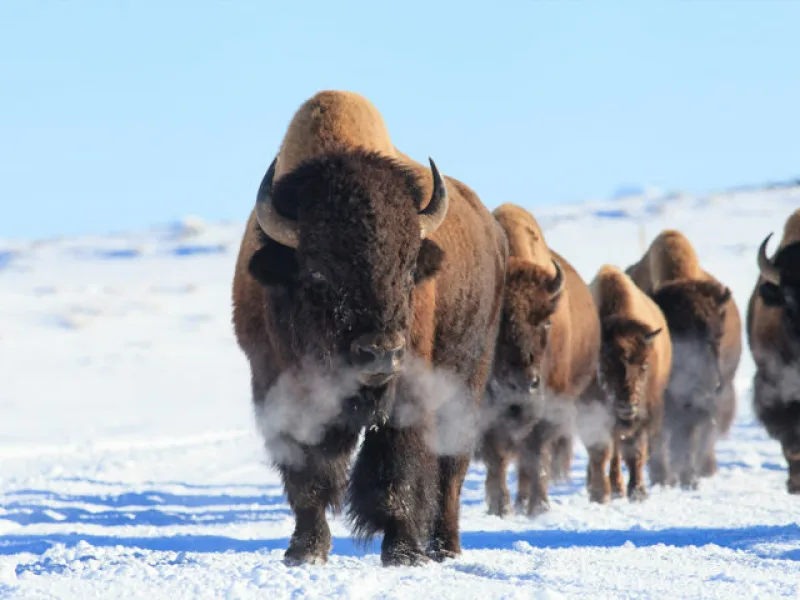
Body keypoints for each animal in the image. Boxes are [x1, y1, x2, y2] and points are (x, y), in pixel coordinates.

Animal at [232, 91, 508, 565]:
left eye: (408, 268)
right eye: (317, 274)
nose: (379, 352)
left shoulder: (408, 390)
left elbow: (396, 472)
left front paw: (402, 552)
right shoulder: (278, 387)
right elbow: (308, 476)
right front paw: (305, 551)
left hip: (468, 375)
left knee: (451, 468)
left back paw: (444, 548)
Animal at [478, 203, 600, 517]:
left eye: (546, 321)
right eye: (498, 322)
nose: (523, 384)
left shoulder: (548, 407)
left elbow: (535, 455)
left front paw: (539, 505)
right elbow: (496, 456)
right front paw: (500, 507)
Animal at [577, 265, 672, 503]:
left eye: (645, 364)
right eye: (604, 366)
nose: (627, 406)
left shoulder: (644, 416)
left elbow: (635, 452)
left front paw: (637, 493)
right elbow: (600, 451)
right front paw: (599, 495)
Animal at [626, 229, 742, 489]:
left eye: (719, 335)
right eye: (678, 335)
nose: (712, 383)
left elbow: (688, 437)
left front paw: (689, 478)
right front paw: (664, 478)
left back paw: (703, 470)